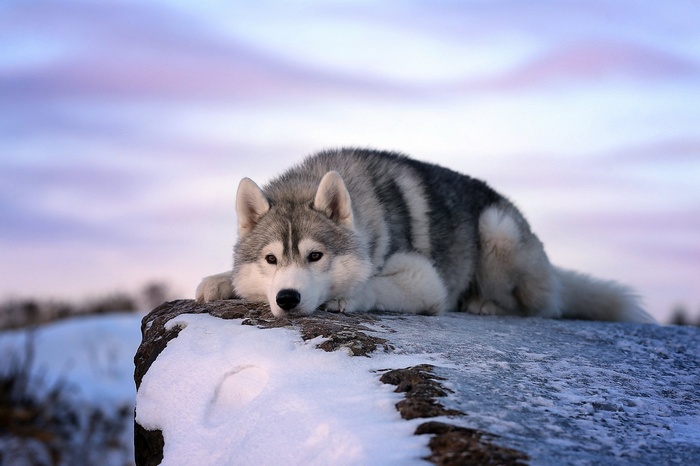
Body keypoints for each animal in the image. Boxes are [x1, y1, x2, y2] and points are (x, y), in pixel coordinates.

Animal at [196, 148, 655, 323]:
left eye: (315, 256)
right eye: (271, 260)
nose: (287, 299)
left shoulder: (425, 280)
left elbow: (373, 286)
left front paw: (348, 297)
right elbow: (233, 277)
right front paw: (219, 281)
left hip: (498, 229)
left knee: (541, 307)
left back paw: (483, 303)